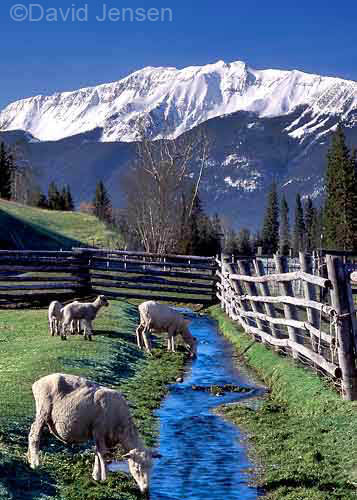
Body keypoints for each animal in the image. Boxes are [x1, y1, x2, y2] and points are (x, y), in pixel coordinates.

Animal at [27, 372, 160, 492]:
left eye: (152, 468)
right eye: (137, 468)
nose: (146, 489)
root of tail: (37, 383)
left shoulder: (104, 436)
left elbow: (97, 452)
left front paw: (96, 475)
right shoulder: (99, 430)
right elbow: (102, 454)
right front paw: (105, 478)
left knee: (32, 433)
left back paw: (29, 458)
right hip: (43, 410)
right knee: (34, 435)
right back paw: (35, 463)